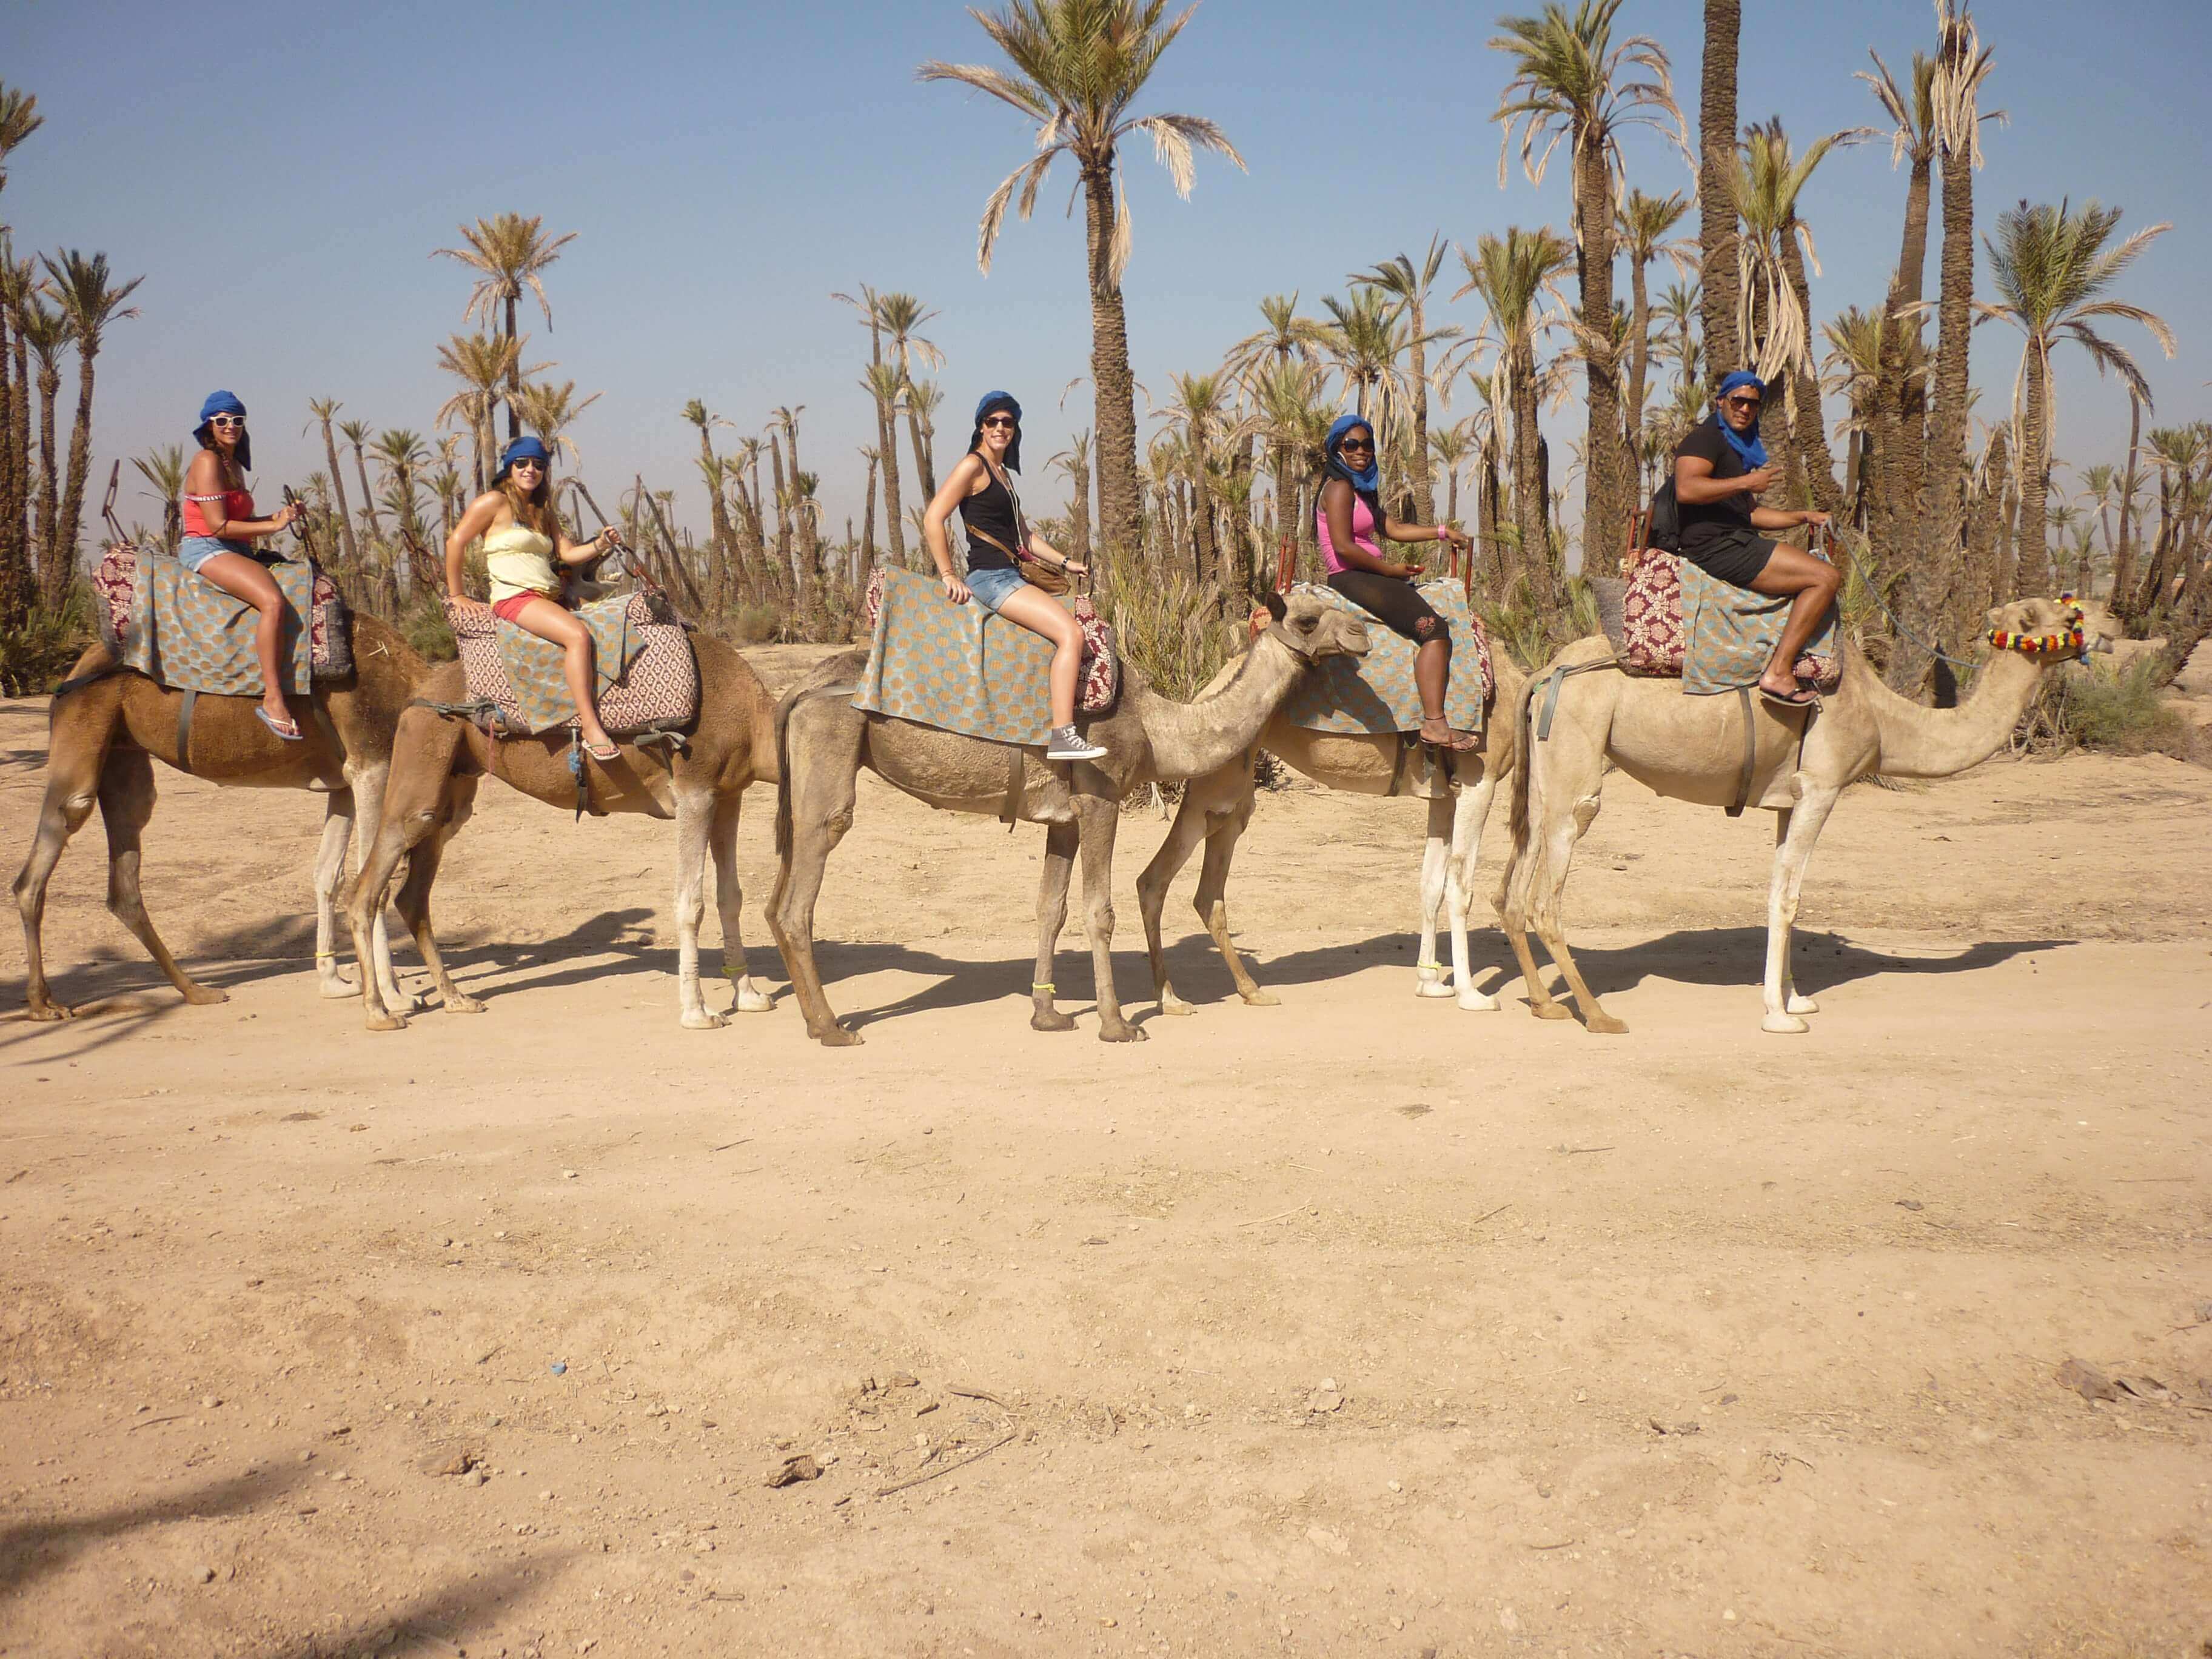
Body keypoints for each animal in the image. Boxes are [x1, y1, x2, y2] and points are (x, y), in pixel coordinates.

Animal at [15, 619, 431, 1022]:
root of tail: (74, 672)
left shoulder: (342, 781)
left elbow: (329, 874)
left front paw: (335, 983)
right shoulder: (373, 762)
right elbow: (373, 881)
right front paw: (394, 998)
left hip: (123, 753)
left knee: (125, 872)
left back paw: (195, 990)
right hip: (83, 733)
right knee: (49, 847)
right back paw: (42, 1004)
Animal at [345, 628, 787, 1035]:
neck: (753, 721)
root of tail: (418, 696)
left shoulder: (728, 794)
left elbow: (731, 897)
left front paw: (750, 996)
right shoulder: (694, 790)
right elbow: (690, 904)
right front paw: (698, 1013)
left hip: (452, 788)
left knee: (412, 895)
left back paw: (456, 999)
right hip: (421, 758)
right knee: (366, 888)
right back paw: (380, 1011)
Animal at [769, 592, 1371, 1044]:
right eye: (1308, 619)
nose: (1362, 631)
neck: (1158, 728)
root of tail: (801, 686)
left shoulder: (1062, 818)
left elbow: (1050, 910)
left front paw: (1049, 1016)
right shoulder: (1101, 798)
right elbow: (1098, 910)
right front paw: (1117, 1024)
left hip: (798, 785)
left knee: (779, 897)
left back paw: (811, 1020)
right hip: (831, 746)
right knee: (806, 886)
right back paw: (832, 1028)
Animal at [1132, 654, 1530, 1022]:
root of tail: (1207, 692)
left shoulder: (1444, 795)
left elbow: (1430, 885)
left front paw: (1430, 983)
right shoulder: (1479, 780)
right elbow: (1459, 888)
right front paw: (1472, 995)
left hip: (1232, 787)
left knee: (1194, 887)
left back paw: (1240, 991)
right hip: (1219, 784)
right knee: (1161, 878)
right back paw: (1174, 999)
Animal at [1495, 597, 2114, 1039]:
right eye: (2064, 613)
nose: (2112, 622)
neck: (1883, 718)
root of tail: (1546, 670)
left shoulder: (1788, 798)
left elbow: (1784, 888)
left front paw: (1797, 997)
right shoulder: (1822, 786)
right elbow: (1788, 895)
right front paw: (1780, 1014)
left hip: (1545, 775)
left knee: (1516, 883)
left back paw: (1547, 1005)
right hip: (1578, 761)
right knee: (1550, 891)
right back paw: (1598, 1016)